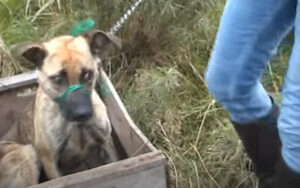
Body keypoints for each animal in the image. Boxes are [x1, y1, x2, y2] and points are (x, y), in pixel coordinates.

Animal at [1, 30, 122, 181]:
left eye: (87, 74)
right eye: (58, 78)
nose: (82, 114)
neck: (76, 127)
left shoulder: (106, 144)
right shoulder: (50, 162)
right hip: (27, 152)